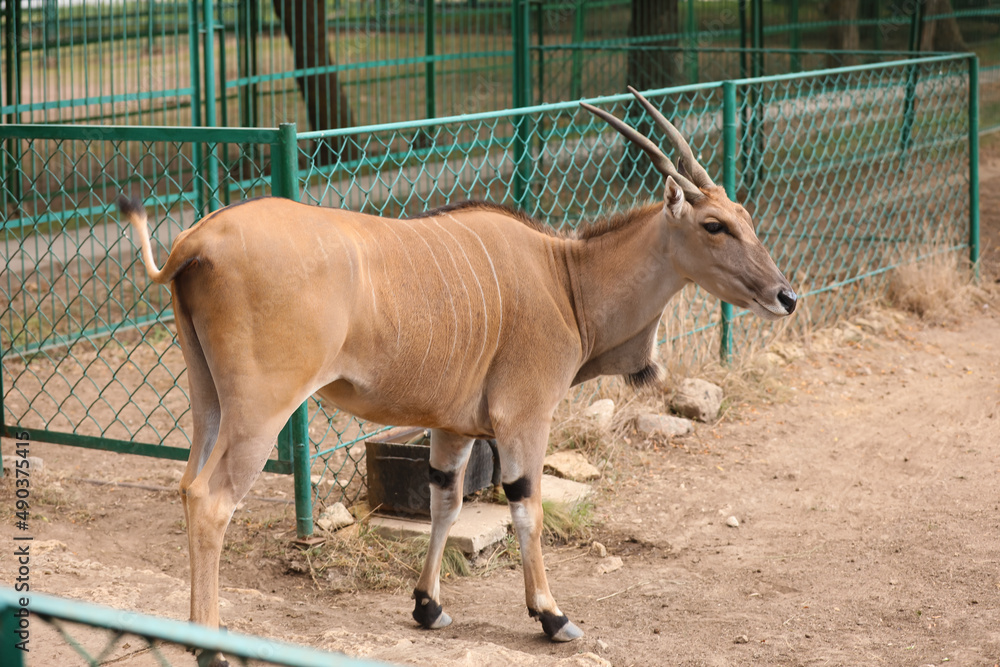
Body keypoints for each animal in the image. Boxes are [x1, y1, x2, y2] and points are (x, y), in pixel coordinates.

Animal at [117, 86, 796, 648]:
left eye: (744, 218)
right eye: (714, 224)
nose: (785, 296)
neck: (566, 279)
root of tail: (194, 244)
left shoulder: (452, 428)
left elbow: (445, 505)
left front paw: (428, 606)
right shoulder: (525, 419)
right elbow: (527, 508)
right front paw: (552, 616)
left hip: (209, 400)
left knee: (187, 486)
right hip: (261, 410)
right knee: (211, 501)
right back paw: (208, 641)